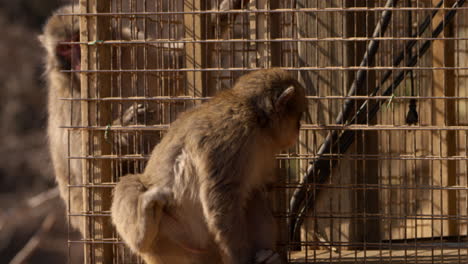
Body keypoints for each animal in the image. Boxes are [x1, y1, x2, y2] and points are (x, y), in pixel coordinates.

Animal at [110, 68, 308, 264]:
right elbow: (221, 197)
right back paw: (142, 233)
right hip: (173, 244)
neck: (257, 118)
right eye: (298, 116)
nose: (298, 128)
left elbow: (255, 188)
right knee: (129, 183)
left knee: (252, 196)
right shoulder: (234, 133)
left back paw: (268, 257)